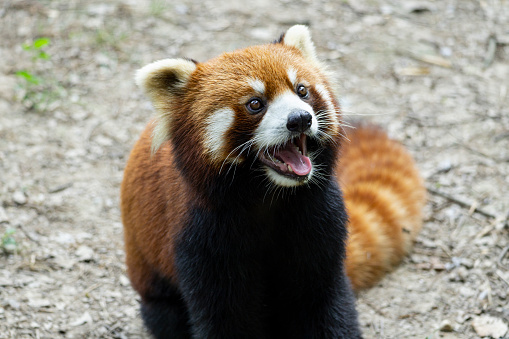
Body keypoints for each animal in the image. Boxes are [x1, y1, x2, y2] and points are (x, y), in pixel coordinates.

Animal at [120, 24, 424, 339]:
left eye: (302, 90)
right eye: (256, 103)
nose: (300, 119)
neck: (270, 196)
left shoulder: (319, 219)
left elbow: (321, 302)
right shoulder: (202, 237)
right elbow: (226, 316)